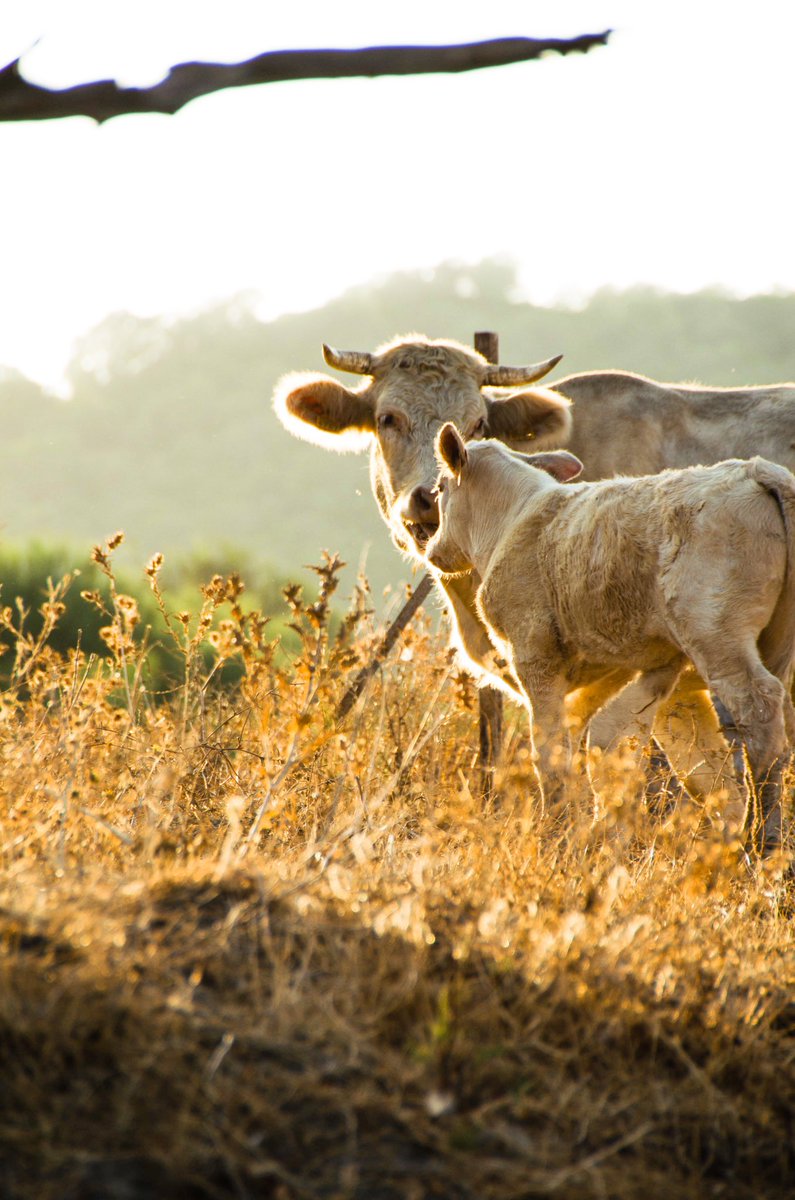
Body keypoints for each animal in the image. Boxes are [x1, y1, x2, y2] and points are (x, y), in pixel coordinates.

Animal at [426, 424, 795, 851]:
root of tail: (758, 470)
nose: (433, 549)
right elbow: (692, 763)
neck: (510, 521)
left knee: (759, 712)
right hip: (765, 651)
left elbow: (550, 751)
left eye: (439, 489)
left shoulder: (535, 658)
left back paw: (762, 838)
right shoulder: (637, 675)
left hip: (719, 640)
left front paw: (555, 830)